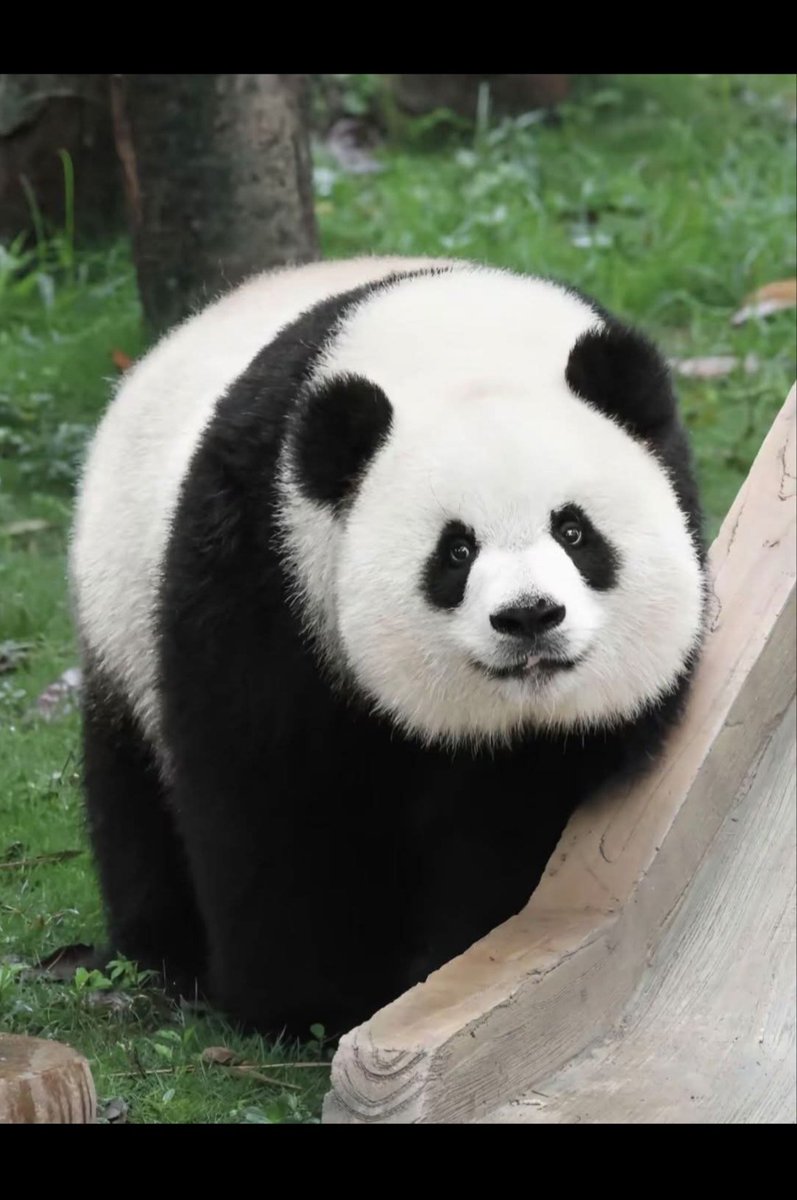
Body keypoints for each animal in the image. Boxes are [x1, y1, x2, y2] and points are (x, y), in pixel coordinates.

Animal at [69, 256, 706, 1039]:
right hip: (119, 611)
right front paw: (302, 1005)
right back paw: (159, 955)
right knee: (131, 791)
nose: (529, 617)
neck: (458, 337)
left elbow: (509, 825)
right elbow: (267, 791)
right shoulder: (264, 563)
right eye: (455, 551)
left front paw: (444, 969)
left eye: (574, 531)